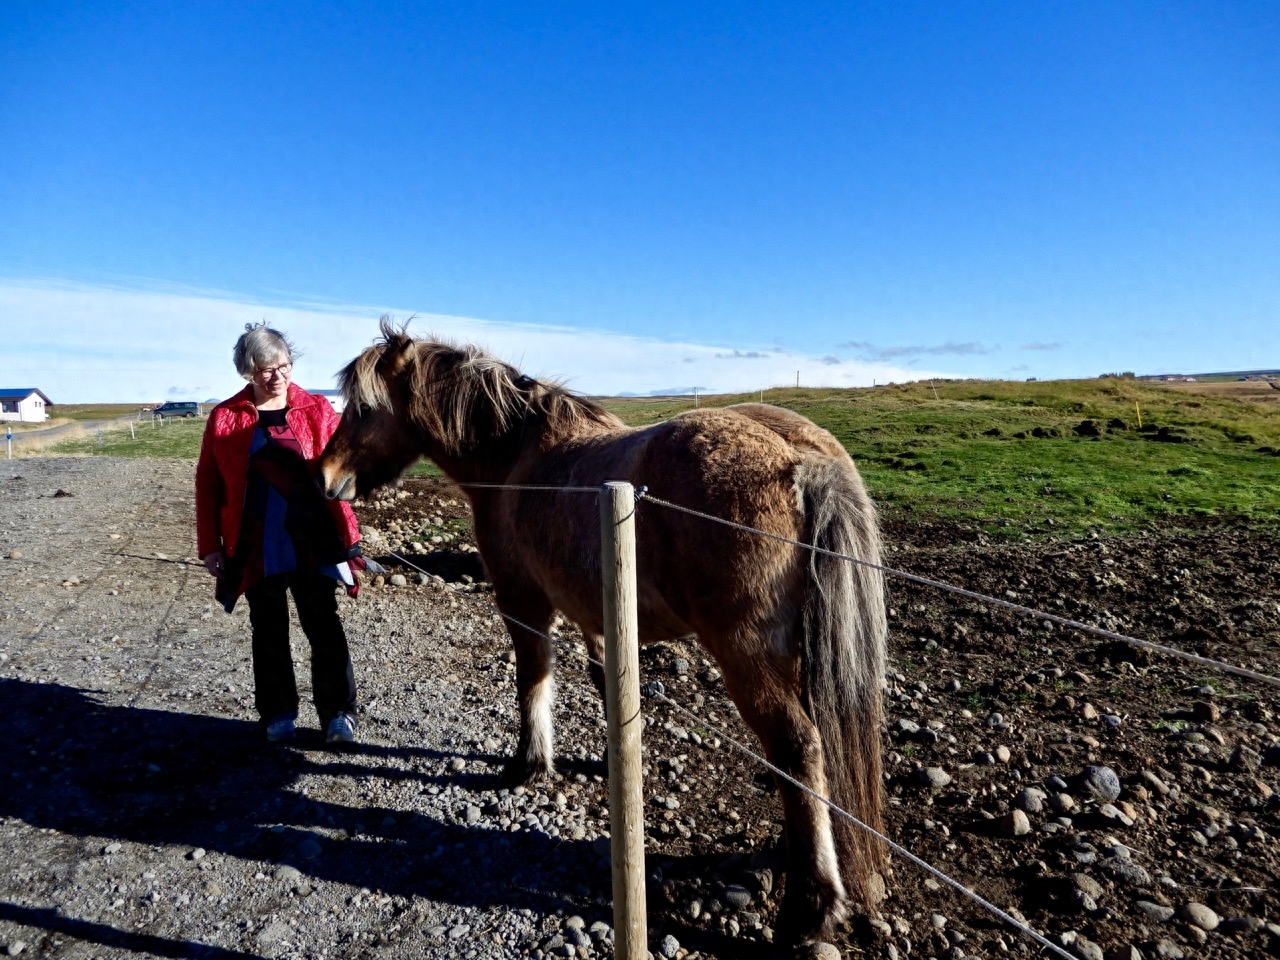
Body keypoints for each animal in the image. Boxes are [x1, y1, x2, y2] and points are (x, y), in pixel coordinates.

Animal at [314, 320, 885, 942]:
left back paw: (812, 906)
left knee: (798, 746)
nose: (324, 478)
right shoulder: (598, 617)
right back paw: (790, 853)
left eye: (363, 409)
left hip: (747, 656)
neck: (514, 459)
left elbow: (532, 681)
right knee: (805, 757)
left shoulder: (524, 605)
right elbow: (604, 682)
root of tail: (800, 458)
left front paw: (529, 764)